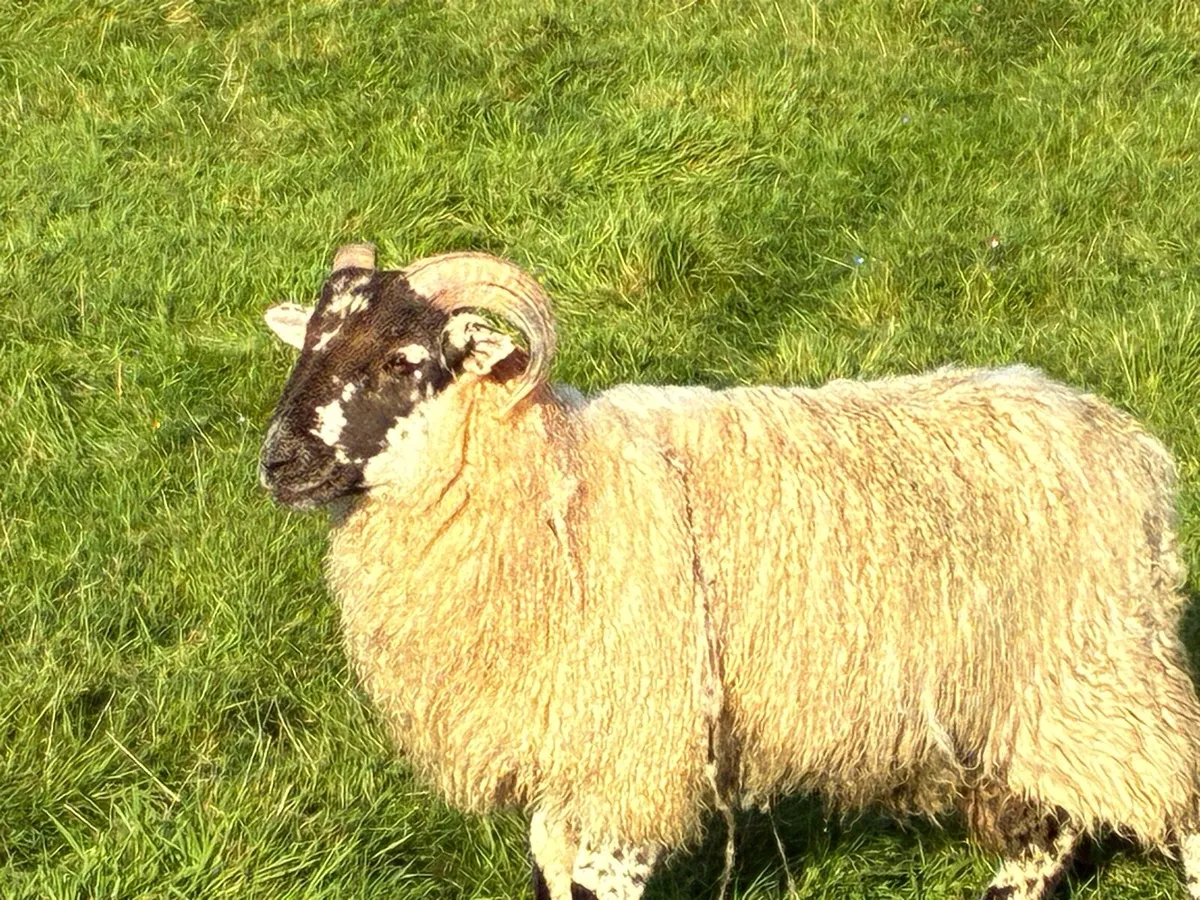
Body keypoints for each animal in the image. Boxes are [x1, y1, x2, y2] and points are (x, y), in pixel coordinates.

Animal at [259, 242, 1200, 900]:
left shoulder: (634, 755)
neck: (550, 483)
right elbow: (545, 869)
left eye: (400, 361)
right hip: (1020, 693)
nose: (277, 463)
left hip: (1099, 671)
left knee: (1177, 795)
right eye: (307, 349)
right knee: (1050, 828)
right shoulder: (572, 744)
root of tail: (1128, 443)